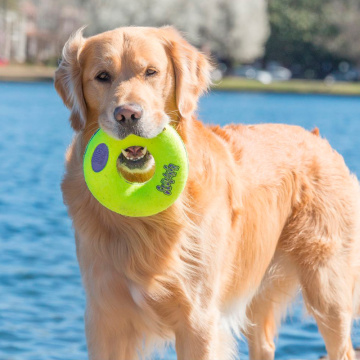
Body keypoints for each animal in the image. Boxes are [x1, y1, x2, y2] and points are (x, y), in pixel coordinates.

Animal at [54, 26, 360, 360]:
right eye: (102, 76)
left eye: (151, 72)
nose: (127, 115)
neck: (148, 217)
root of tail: (319, 139)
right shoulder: (105, 318)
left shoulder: (198, 319)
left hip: (327, 288)